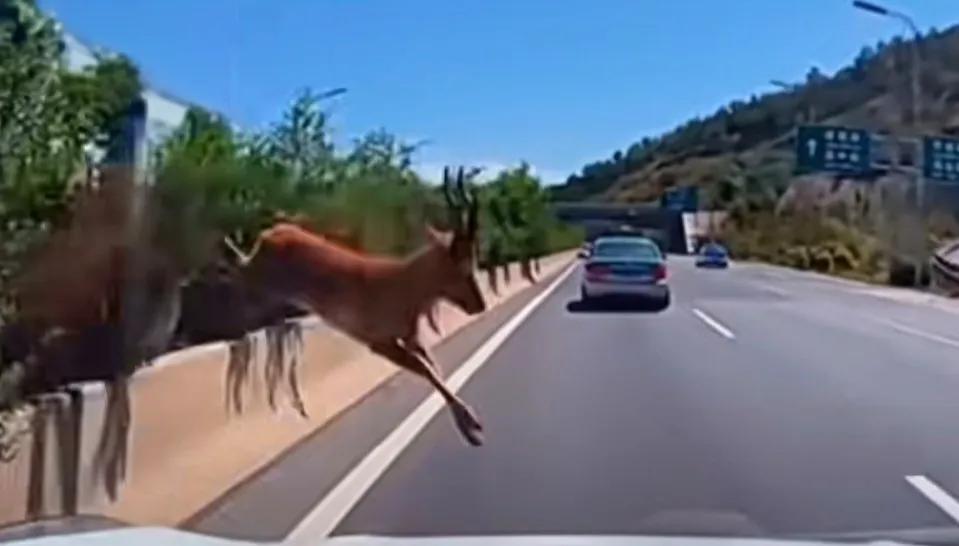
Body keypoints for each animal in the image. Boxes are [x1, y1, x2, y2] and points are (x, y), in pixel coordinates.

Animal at [222, 167, 487, 445]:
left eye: (474, 261)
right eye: (460, 267)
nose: (479, 305)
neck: (402, 287)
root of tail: (272, 233)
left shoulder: (412, 337)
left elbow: (435, 368)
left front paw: (470, 425)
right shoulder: (380, 344)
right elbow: (427, 370)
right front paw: (471, 427)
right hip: (261, 277)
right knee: (238, 271)